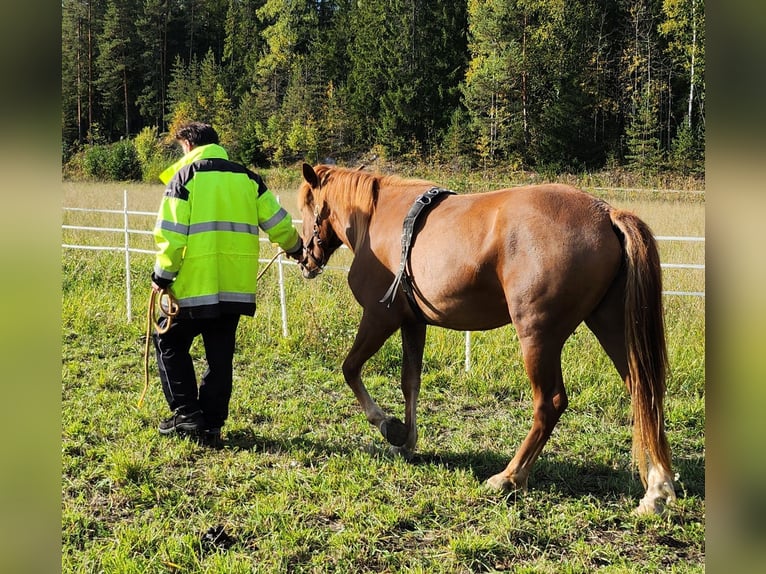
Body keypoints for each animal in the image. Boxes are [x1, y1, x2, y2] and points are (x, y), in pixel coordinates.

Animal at [294, 163, 680, 516]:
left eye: (307, 206)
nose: (302, 257)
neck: (379, 218)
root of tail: (606, 213)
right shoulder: (412, 322)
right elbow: (410, 383)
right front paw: (407, 440)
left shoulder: (379, 318)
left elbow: (350, 368)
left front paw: (388, 426)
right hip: (611, 325)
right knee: (644, 393)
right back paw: (657, 490)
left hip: (538, 336)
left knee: (550, 403)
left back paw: (510, 477)